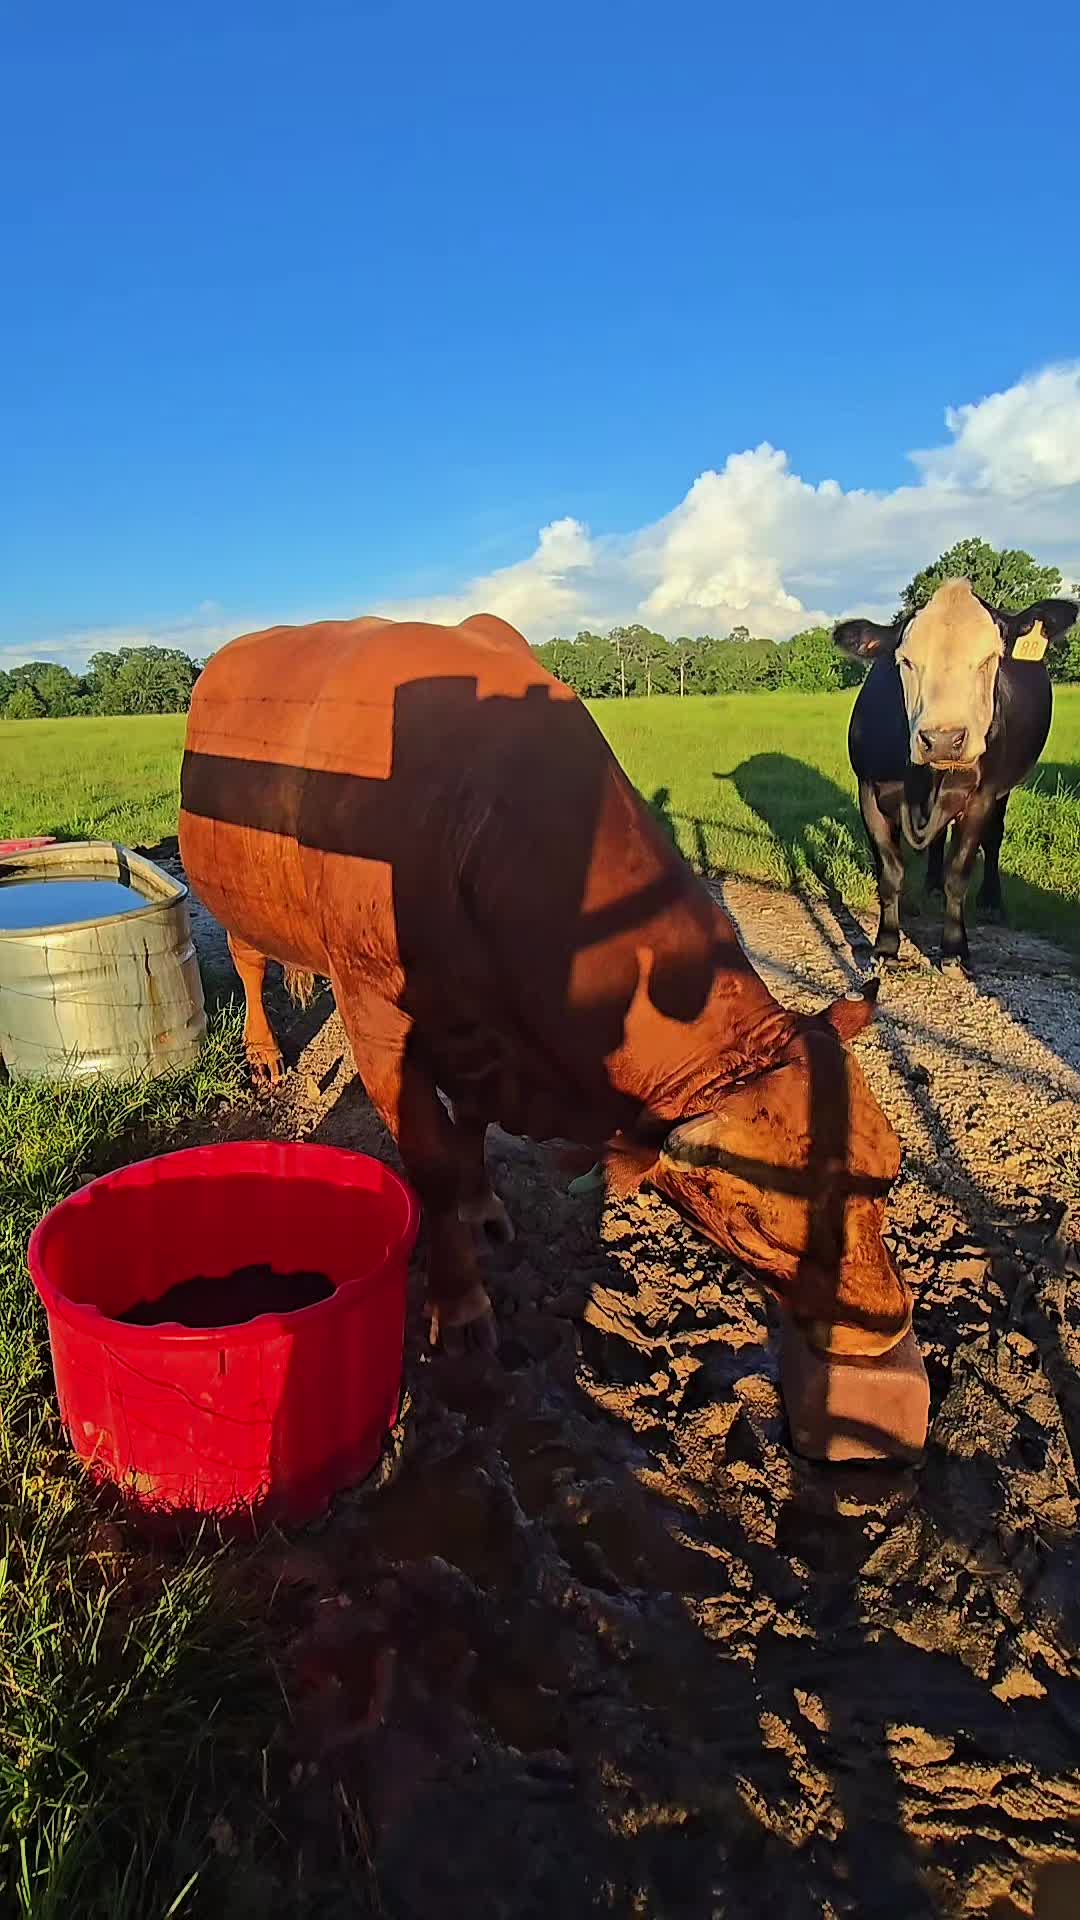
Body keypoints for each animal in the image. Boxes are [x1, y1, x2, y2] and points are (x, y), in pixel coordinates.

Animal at [178, 612, 918, 1453]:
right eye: (751, 1222)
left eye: (890, 1170)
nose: (883, 1328)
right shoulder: (378, 1016)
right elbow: (431, 1163)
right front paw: (460, 1304)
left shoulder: (486, 1040)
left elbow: (468, 1133)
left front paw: (482, 1207)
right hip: (236, 899)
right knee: (249, 963)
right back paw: (266, 1055)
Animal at [835, 580, 1078, 968]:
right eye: (905, 661)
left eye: (990, 658)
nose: (943, 740)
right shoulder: (868, 789)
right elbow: (889, 871)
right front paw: (886, 945)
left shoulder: (981, 795)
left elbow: (960, 871)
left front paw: (953, 947)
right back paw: (931, 884)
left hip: (1003, 790)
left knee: (993, 837)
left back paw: (991, 901)